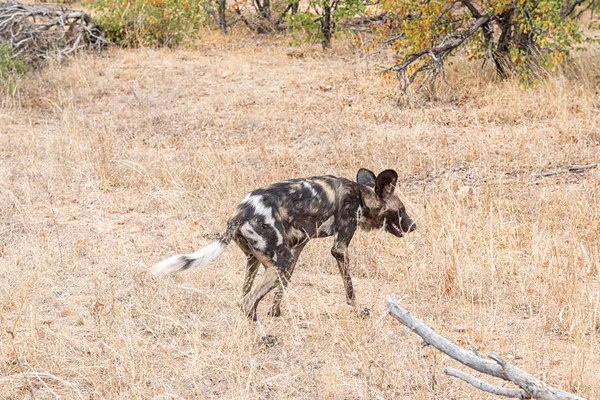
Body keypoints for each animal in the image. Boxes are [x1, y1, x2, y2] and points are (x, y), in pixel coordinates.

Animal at [154, 169, 418, 344]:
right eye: (402, 210)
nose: (413, 225)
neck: (361, 196)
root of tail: (240, 213)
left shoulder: (297, 248)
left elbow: (284, 286)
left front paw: (275, 312)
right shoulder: (340, 247)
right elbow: (350, 289)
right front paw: (358, 310)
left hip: (260, 261)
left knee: (243, 298)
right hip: (277, 261)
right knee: (248, 302)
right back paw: (265, 338)